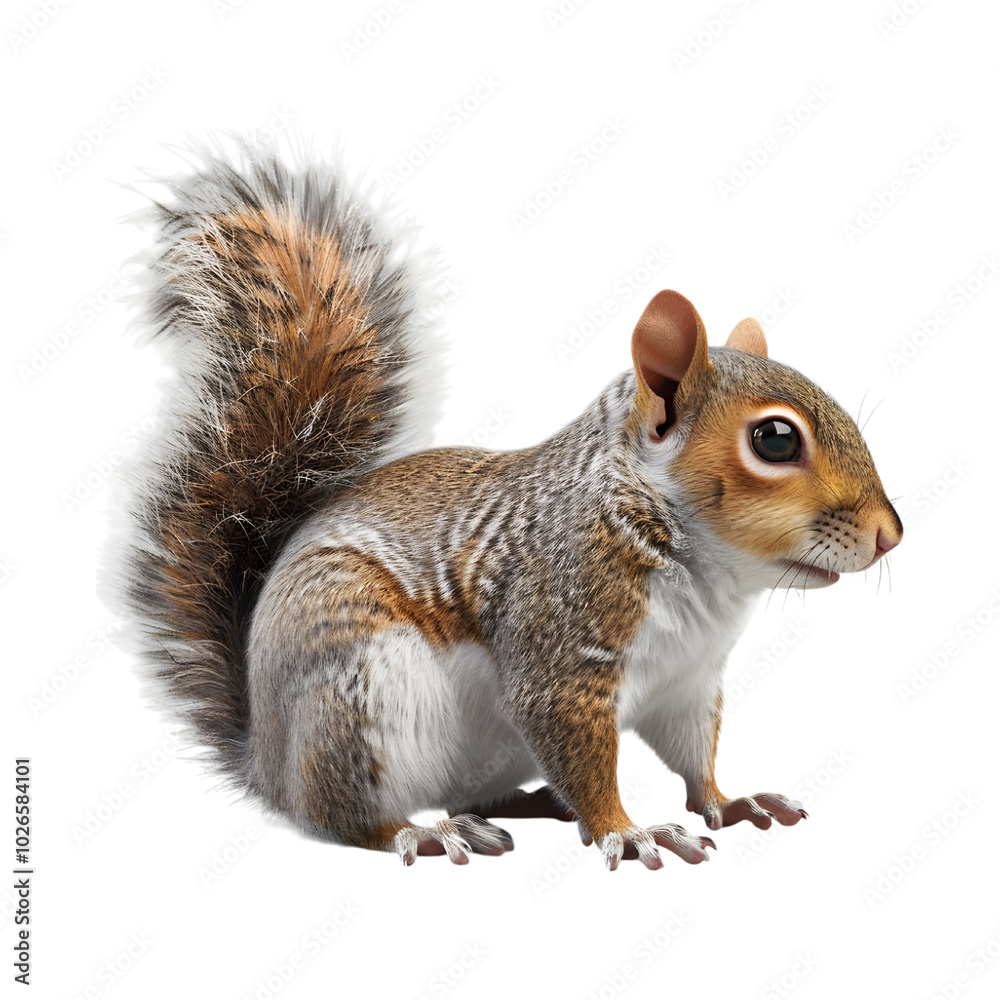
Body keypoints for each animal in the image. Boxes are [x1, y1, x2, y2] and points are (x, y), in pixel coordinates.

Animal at [114, 138, 902, 870]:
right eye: (774, 440)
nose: (890, 535)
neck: (701, 568)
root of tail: (267, 758)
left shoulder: (688, 681)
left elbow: (693, 755)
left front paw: (730, 801)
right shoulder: (561, 645)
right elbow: (580, 749)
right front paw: (629, 832)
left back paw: (525, 804)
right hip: (357, 693)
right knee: (341, 815)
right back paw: (424, 832)